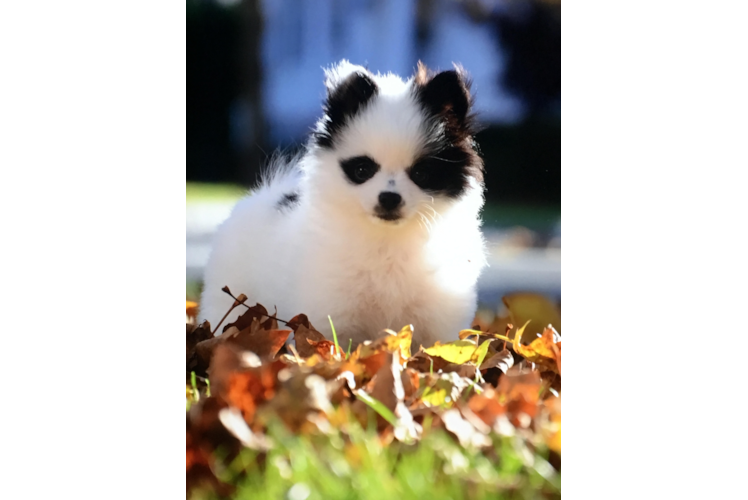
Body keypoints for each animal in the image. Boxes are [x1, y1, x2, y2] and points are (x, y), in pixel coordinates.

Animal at [199, 60, 488, 348]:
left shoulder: (437, 324)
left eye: (422, 174)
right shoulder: (329, 316)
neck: (385, 240)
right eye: (362, 170)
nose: (389, 197)